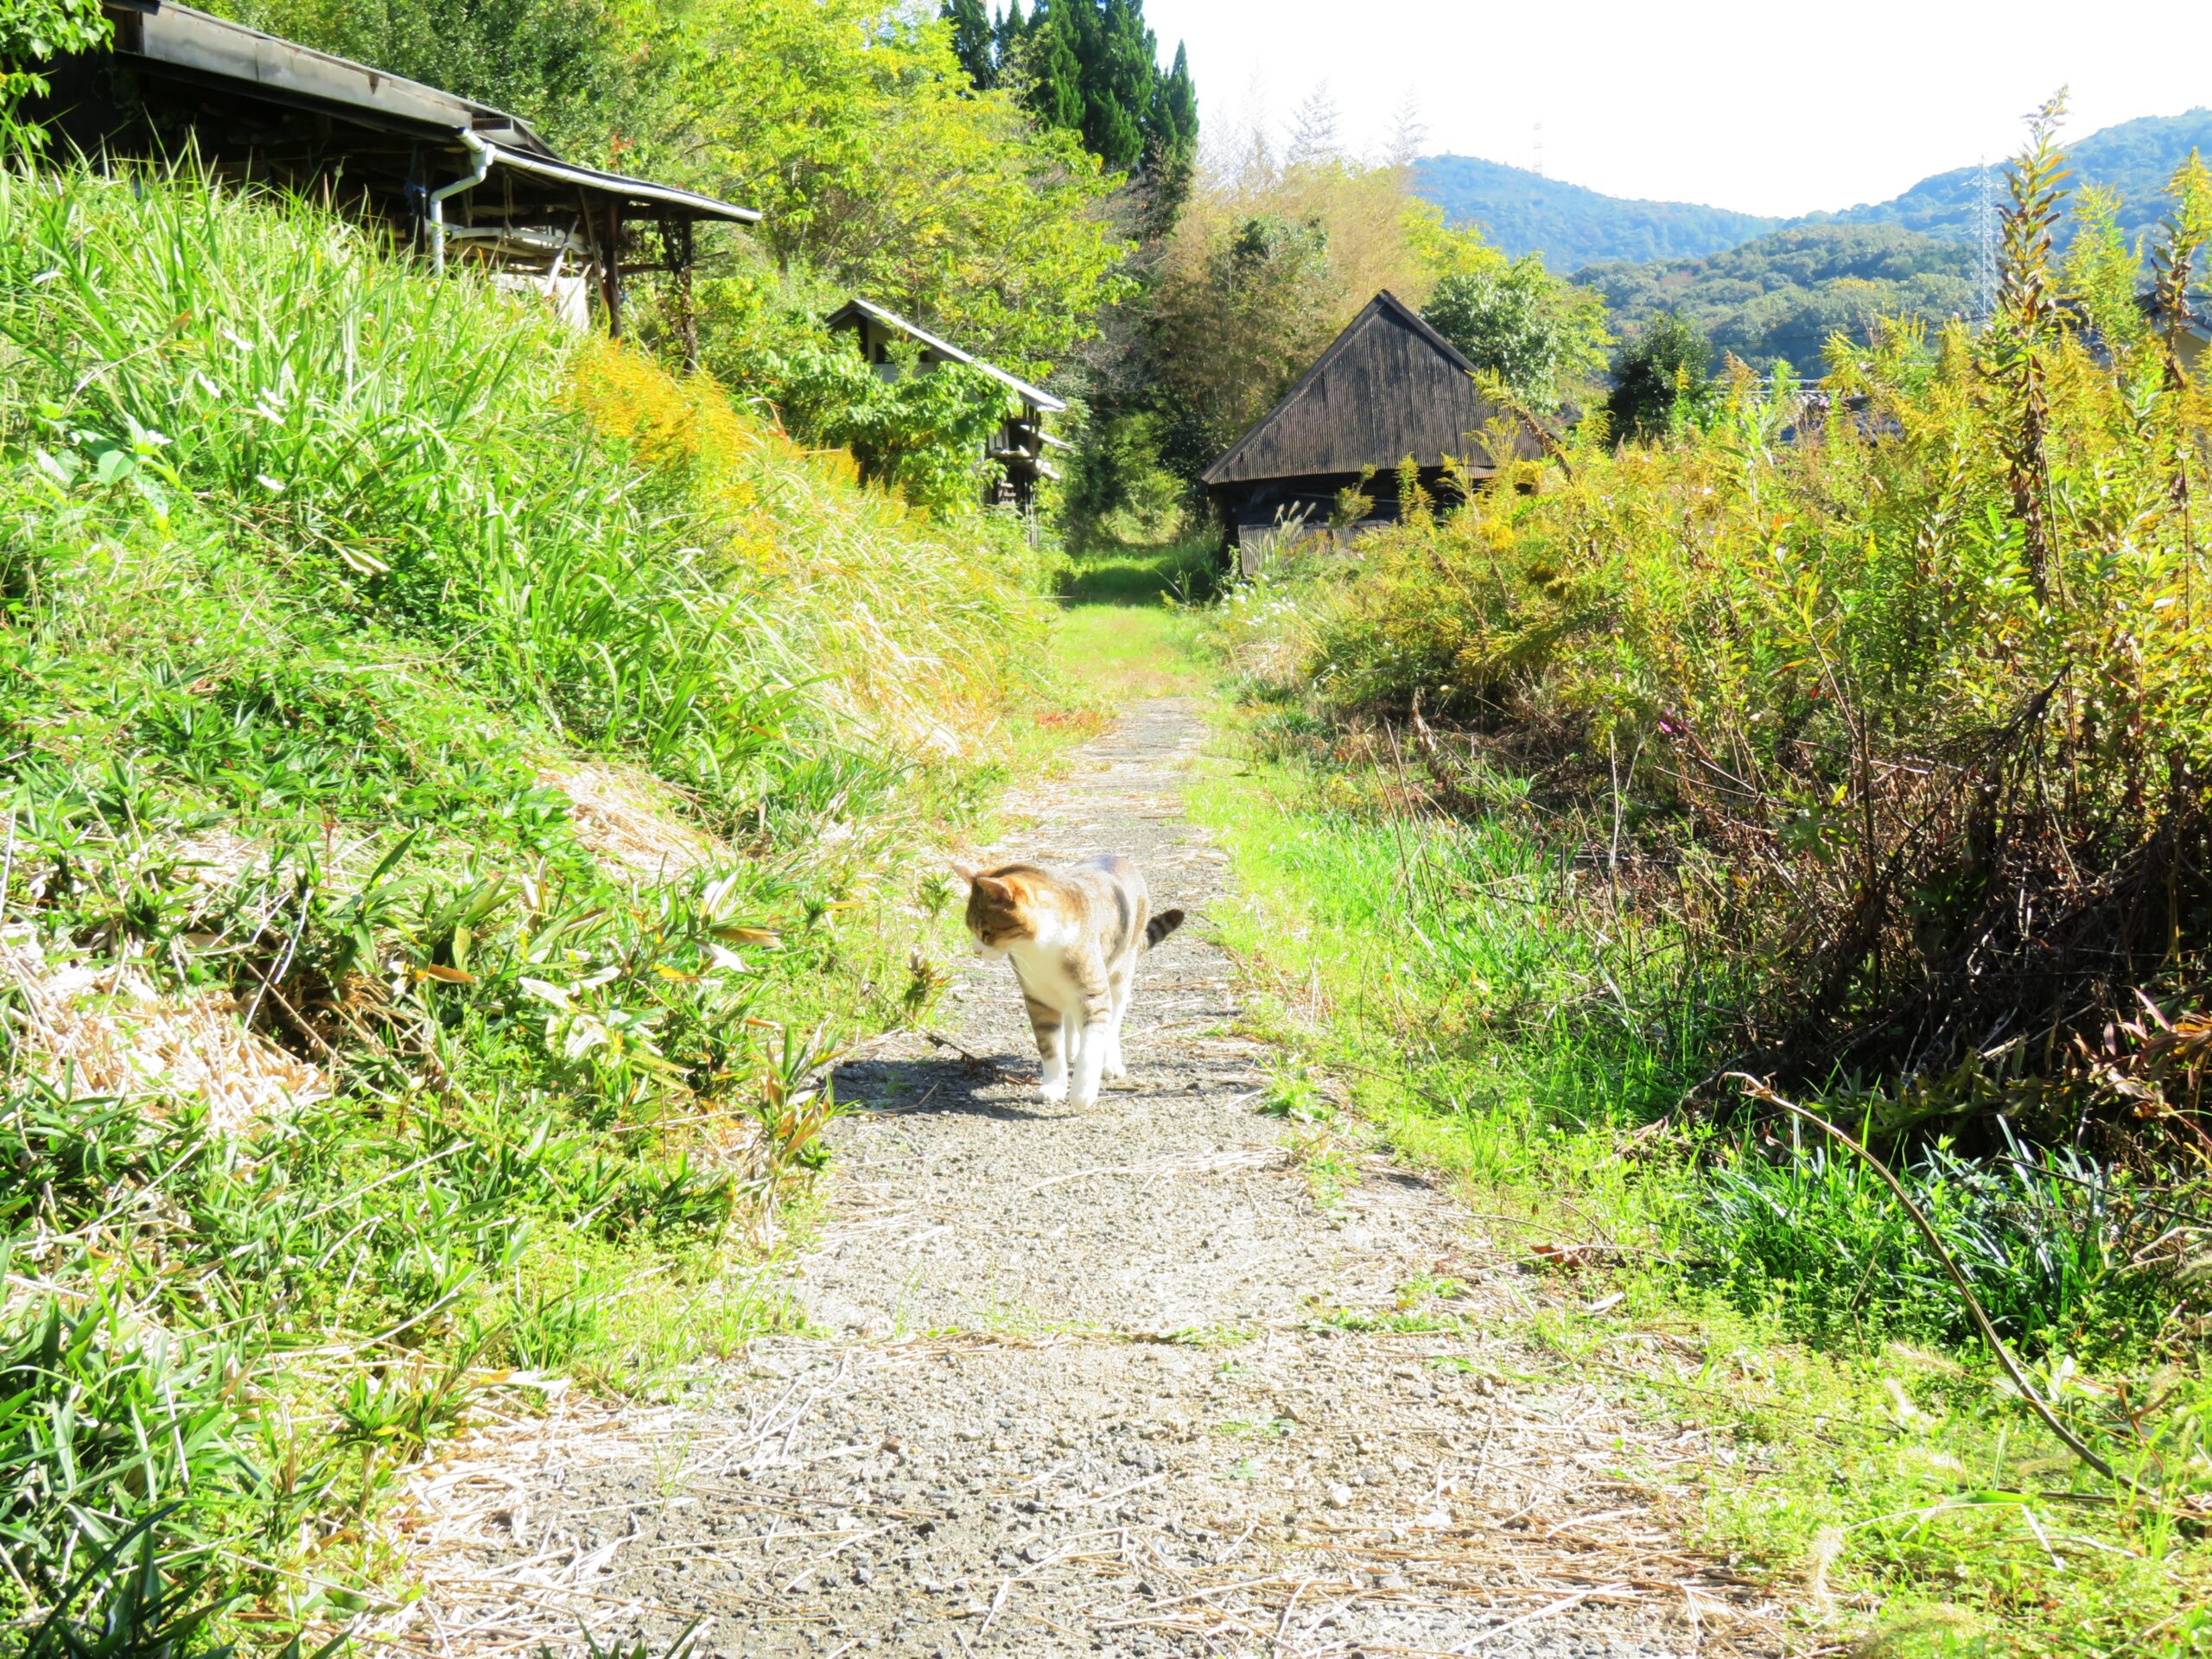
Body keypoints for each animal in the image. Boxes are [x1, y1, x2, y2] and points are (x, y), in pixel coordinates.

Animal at [960, 862, 1185, 1110]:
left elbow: (1092, 1046)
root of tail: (1117, 859)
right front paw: (1054, 1086)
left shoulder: (1093, 995)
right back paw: (1070, 1048)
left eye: (986, 932)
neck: (1041, 947)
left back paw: (1110, 1062)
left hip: (1121, 971)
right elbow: (1049, 1047)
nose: (976, 950)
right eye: (970, 929)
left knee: (1113, 1022)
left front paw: (1082, 1093)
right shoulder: (1038, 999)